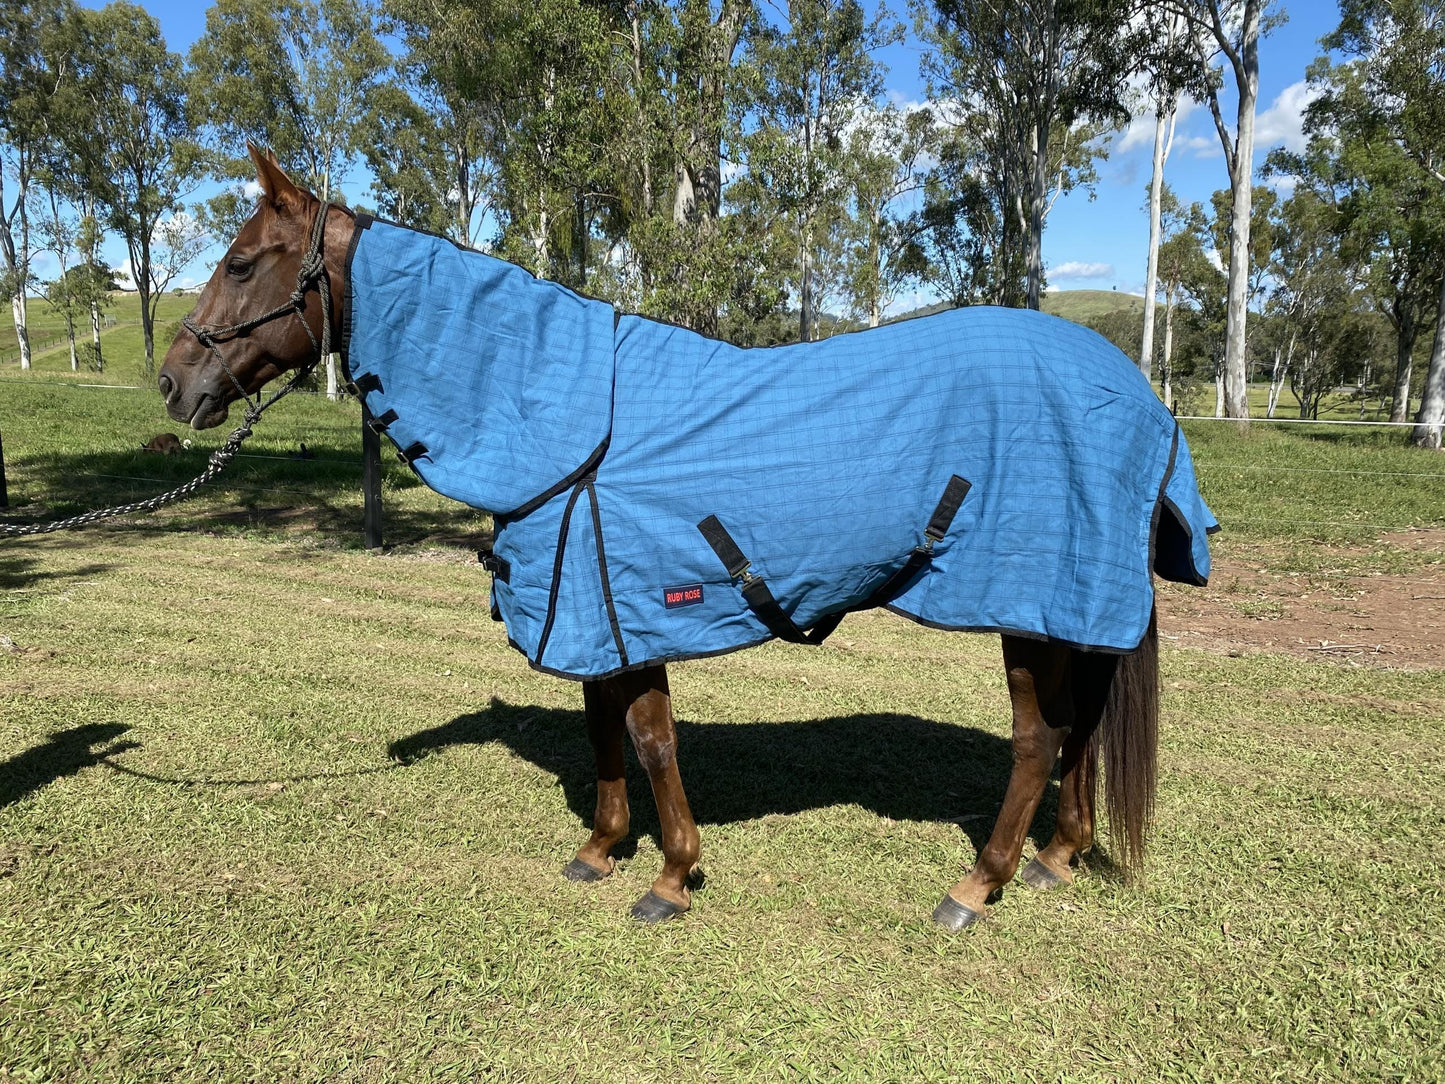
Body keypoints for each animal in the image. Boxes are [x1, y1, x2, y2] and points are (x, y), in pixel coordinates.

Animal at [158, 145, 1214, 930]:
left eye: (241, 263)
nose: (174, 384)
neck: (559, 412)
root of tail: (1138, 395)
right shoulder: (593, 610)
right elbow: (603, 731)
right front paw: (599, 850)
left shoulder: (622, 604)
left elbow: (651, 738)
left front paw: (669, 878)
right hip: (1069, 610)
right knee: (1083, 726)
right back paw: (1057, 857)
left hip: (1025, 603)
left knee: (1040, 738)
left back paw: (975, 884)